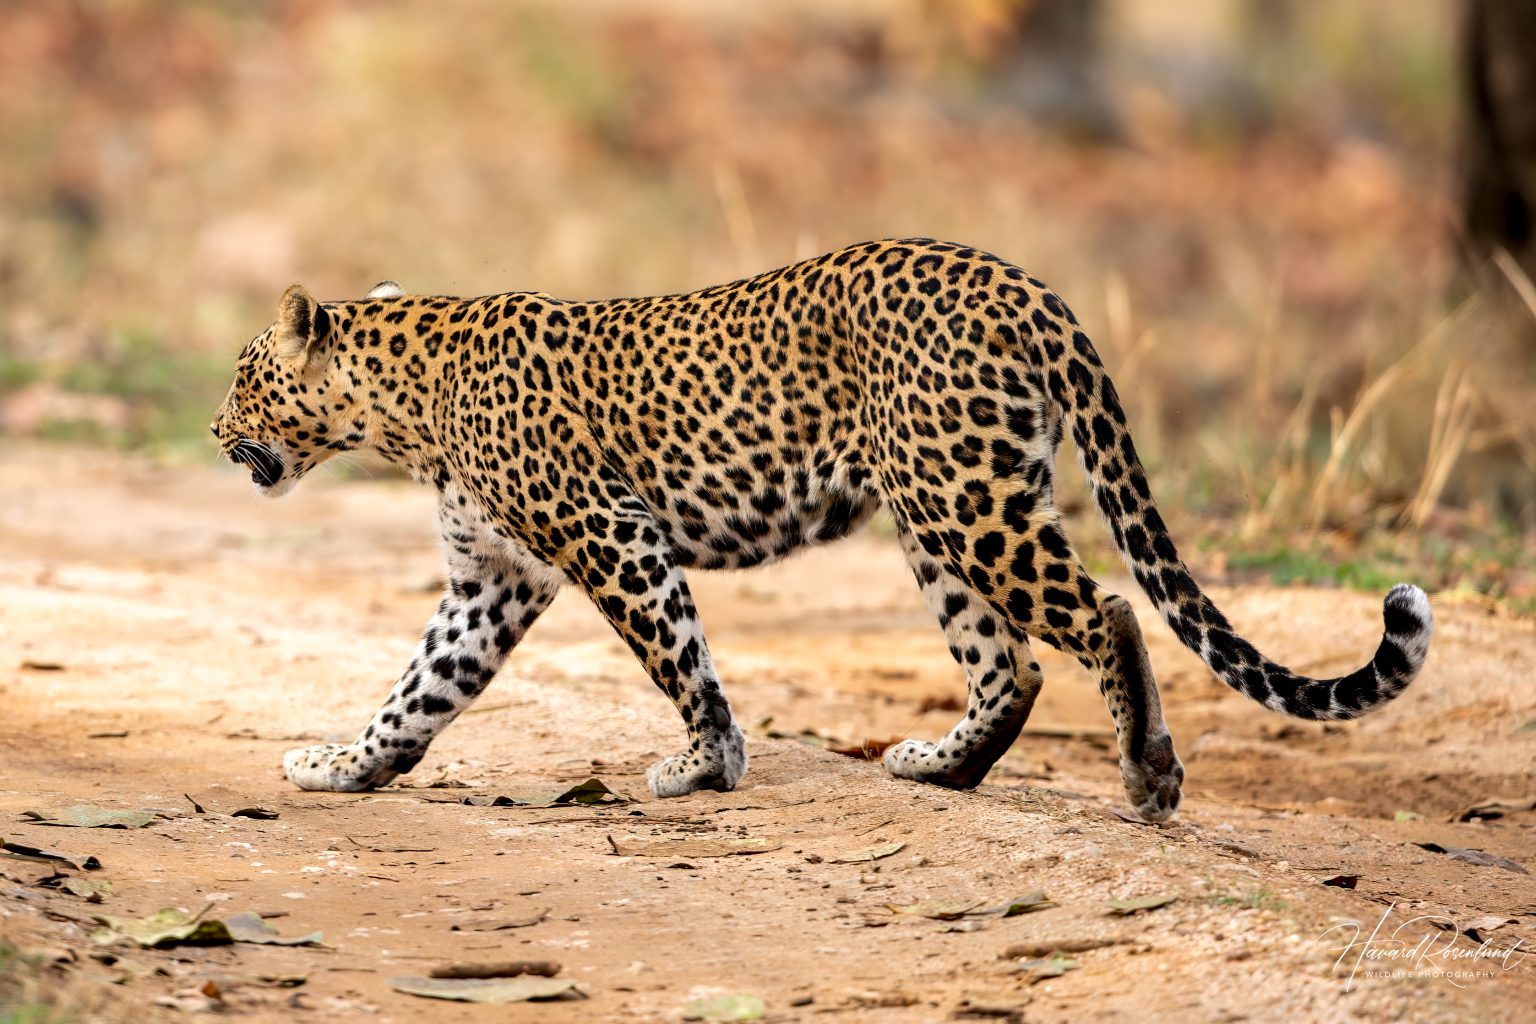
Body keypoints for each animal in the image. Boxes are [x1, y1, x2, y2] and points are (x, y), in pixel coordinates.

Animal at [211, 238, 1433, 822]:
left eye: (242, 377)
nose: (218, 430)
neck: (401, 407)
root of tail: (1027, 284)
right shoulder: (493, 581)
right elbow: (419, 689)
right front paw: (343, 765)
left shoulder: (609, 535)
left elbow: (680, 656)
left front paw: (704, 765)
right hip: (941, 507)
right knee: (1013, 664)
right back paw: (941, 768)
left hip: (963, 499)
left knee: (1104, 611)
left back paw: (1149, 775)